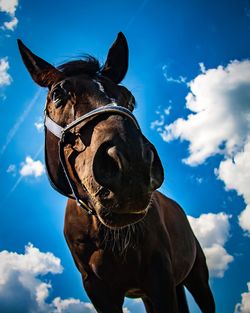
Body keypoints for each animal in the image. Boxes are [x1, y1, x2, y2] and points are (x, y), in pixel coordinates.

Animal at [17, 33, 215, 310]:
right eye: (57, 94)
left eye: (129, 98)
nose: (131, 163)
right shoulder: (99, 291)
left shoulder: (160, 280)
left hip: (197, 279)